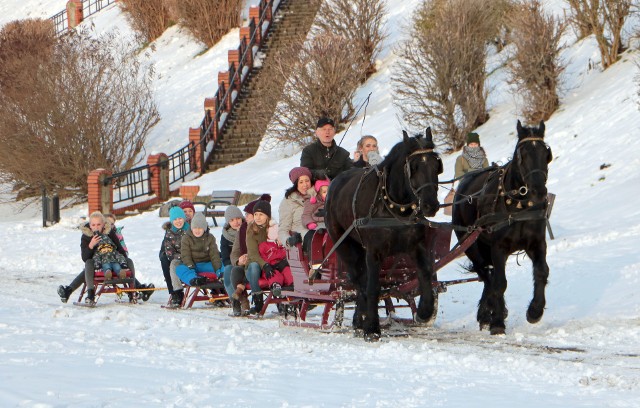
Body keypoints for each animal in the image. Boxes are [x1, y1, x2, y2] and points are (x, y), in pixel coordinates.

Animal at [328, 130, 442, 342]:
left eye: (436, 164)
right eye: (414, 167)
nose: (431, 205)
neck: (395, 207)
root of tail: (335, 182)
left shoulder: (416, 245)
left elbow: (425, 272)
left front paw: (424, 311)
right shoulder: (374, 252)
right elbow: (373, 286)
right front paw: (372, 328)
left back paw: (359, 319)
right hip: (345, 246)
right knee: (359, 281)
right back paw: (363, 318)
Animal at [452, 120, 552, 334]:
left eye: (546, 153)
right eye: (522, 155)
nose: (539, 192)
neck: (518, 204)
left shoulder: (537, 243)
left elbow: (541, 271)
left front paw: (535, 311)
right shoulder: (498, 247)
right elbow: (500, 283)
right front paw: (497, 323)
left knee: (488, 277)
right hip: (472, 247)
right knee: (487, 276)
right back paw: (487, 314)